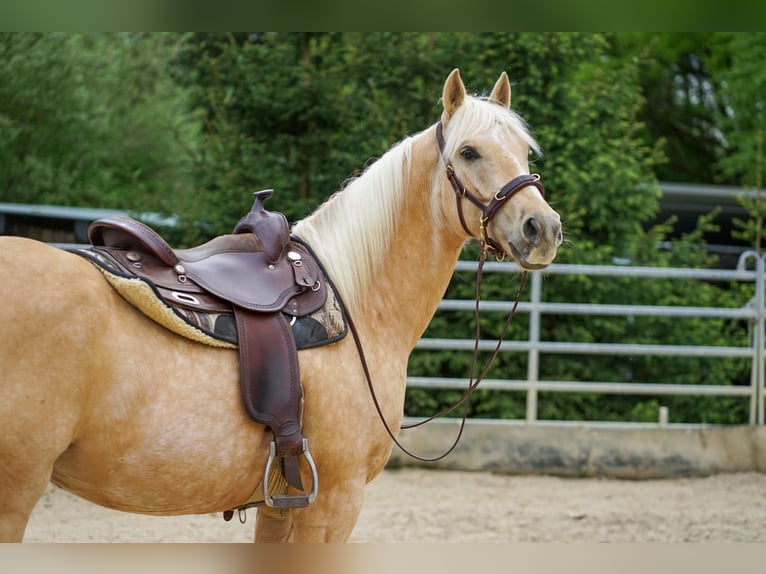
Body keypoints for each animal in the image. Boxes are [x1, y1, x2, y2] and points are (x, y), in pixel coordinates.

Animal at [0, 69, 562, 542]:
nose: (543, 228)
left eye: (525, 151)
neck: (357, 302)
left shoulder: (282, 506)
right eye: (468, 152)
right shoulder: (333, 502)